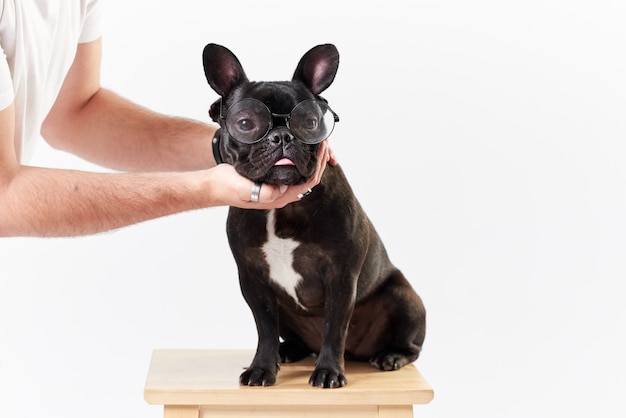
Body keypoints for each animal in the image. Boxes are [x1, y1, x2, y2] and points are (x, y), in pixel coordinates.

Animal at [201, 43, 424, 388]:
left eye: (309, 122)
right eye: (246, 123)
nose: (282, 136)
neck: (282, 208)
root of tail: (358, 353)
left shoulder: (341, 277)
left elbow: (334, 328)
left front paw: (329, 372)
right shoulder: (254, 282)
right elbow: (265, 329)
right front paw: (262, 368)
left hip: (404, 298)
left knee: (409, 344)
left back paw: (391, 355)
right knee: (292, 337)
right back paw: (288, 351)